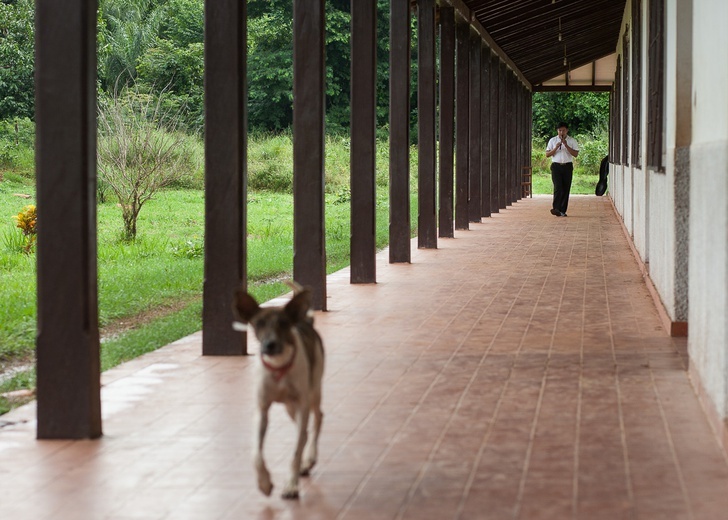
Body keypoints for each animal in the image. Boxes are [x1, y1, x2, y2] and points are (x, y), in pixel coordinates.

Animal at [233, 284, 324, 500]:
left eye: (283, 323)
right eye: (258, 324)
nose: (270, 345)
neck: (278, 367)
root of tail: (306, 321)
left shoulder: (301, 404)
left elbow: (295, 452)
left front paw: (291, 485)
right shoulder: (262, 409)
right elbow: (256, 454)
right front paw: (264, 483)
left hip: (313, 392)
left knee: (317, 419)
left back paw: (310, 457)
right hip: (291, 407)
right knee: (304, 432)